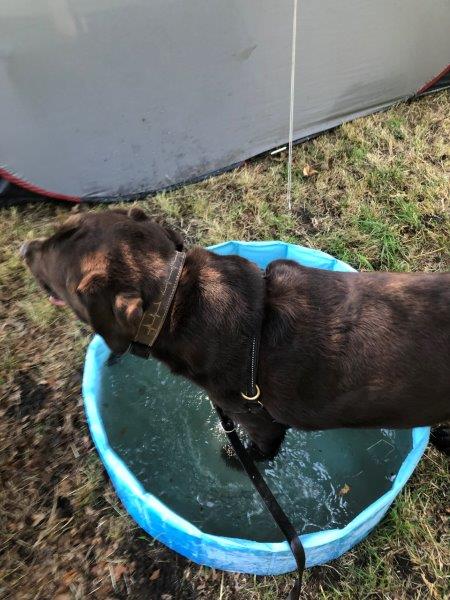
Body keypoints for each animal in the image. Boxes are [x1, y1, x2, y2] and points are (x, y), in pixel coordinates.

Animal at [21, 209, 450, 458]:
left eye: (61, 279)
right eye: (61, 228)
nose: (24, 247)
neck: (182, 293)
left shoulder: (264, 426)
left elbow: (255, 454)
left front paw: (234, 459)